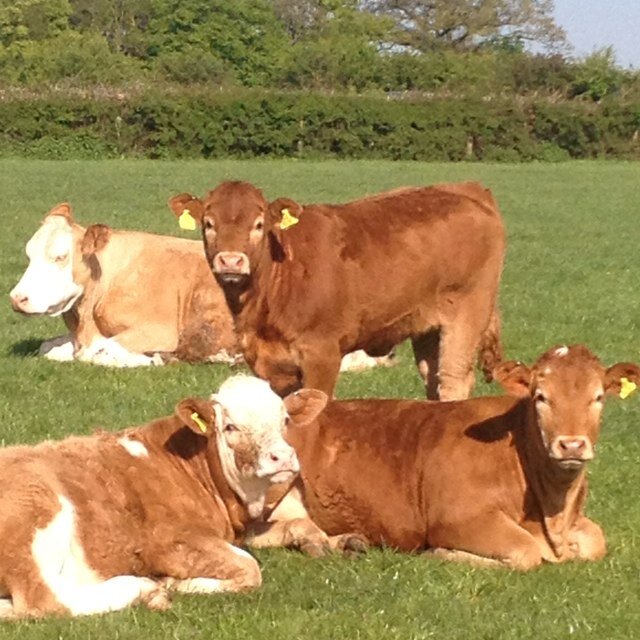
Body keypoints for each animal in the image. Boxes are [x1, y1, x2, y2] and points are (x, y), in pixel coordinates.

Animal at [8, 202, 239, 368]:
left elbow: (98, 352)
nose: (17, 298)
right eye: (29, 255)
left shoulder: (158, 331)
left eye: (60, 257)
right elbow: (47, 347)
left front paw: (155, 358)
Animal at [169, 181, 504, 400]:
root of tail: (466, 189)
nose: (231, 261)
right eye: (208, 224)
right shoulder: (269, 364)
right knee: (432, 379)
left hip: (467, 313)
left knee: (453, 379)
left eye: (259, 224)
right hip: (426, 328)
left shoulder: (322, 354)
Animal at [249, 344, 640, 568]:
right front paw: (441, 553)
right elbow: (526, 553)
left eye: (598, 397)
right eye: (541, 396)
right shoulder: (457, 519)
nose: (571, 445)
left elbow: (595, 540)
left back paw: (341, 542)